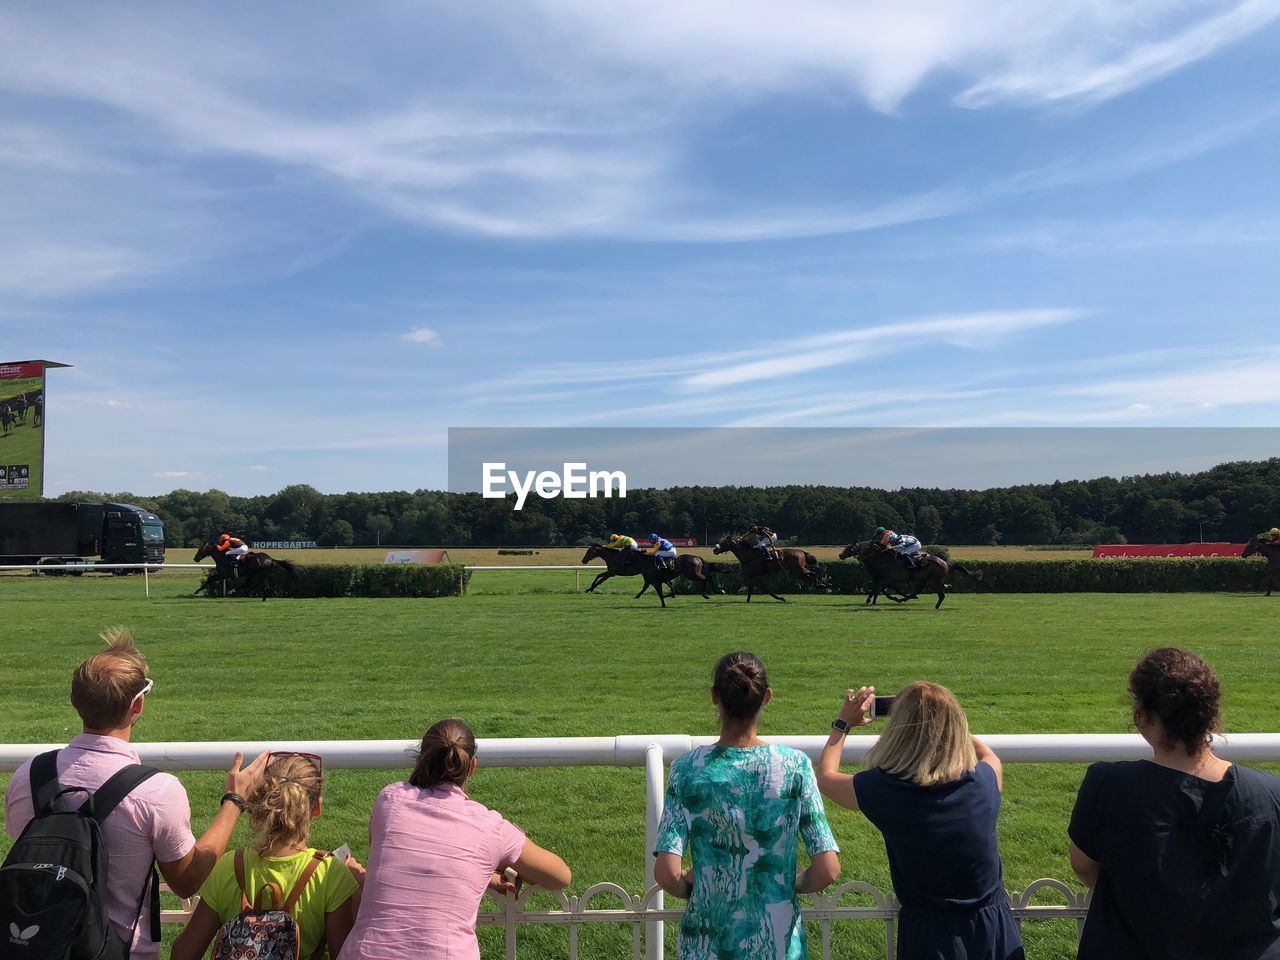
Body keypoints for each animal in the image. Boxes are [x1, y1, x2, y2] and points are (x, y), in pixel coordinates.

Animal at [583, 545, 727, 604]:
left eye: (589, 552)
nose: (583, 561)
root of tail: (697, 557)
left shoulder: (612, 572)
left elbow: (599, 577)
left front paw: (590, 588)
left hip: (692, 574)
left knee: (707, 578)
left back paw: (711, 592)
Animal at [839, 542, 977, 609]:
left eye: (851, 548)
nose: (840, 555)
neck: (887, 561)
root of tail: (945, 563)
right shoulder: (880, 579)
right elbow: (879, 589)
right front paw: (871, 600)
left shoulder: (889, 579)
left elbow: (882, 589)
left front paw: (871, 600)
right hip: (925, 580)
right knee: (918, 591)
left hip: (934, 581)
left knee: (940, 595)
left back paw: (934, 606)